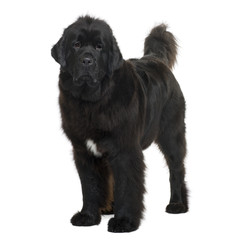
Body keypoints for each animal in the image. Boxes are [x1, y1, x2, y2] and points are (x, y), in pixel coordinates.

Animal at [51, 15, 188, 232]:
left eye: (99, 47)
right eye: (76, 44)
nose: (87, 60)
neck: (92, 102)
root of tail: (156, 59)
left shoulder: (125, 150)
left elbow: (127, 186)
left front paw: (125, 221)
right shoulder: (83, 151)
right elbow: (89, 185)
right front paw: (88, 216)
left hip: (171, 135)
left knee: (176, 169)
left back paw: (177, 204)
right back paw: (109, 207)